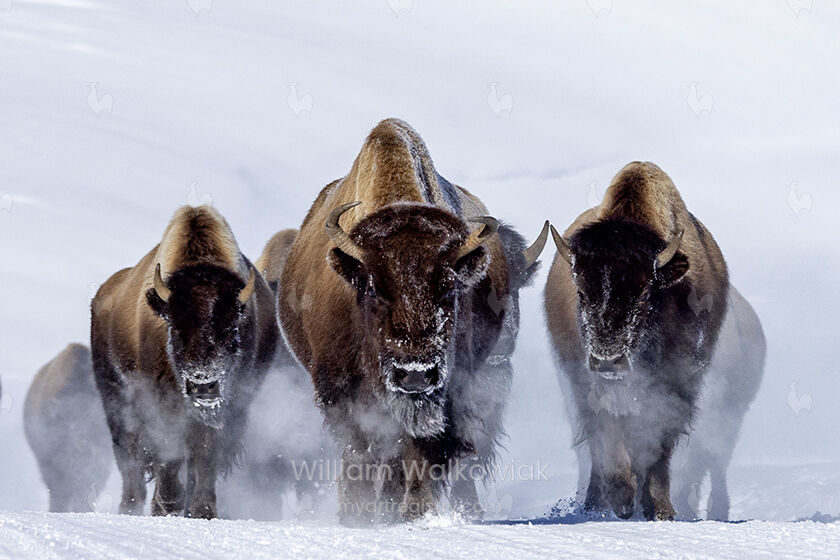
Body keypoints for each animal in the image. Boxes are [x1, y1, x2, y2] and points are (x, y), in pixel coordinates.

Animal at [91, 205, 278, 518]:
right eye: (175, 327)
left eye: (232, 330)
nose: (203, 384)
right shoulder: (160, 399)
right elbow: (169, 447)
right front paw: (169, 503)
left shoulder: (228, 407)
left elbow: (205, 452)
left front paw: (203, 510)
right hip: (116, 397)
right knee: (129, 455)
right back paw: (133, 507)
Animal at [279, 118, 546, 524]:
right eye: (374, 288)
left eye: (449, 288)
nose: (416, 373)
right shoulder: (338, 389)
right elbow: (359, 452)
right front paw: (358, 516)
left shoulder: (451, 388)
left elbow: (422, 451)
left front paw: (414, 512)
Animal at [545, 161, 729, 520]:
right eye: (581, 293)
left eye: (644, 294)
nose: (608, 360)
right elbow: (609, 434)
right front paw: (620, 499)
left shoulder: (677, 385)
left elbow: (658, 445)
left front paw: (660, 509)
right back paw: (596, 502)